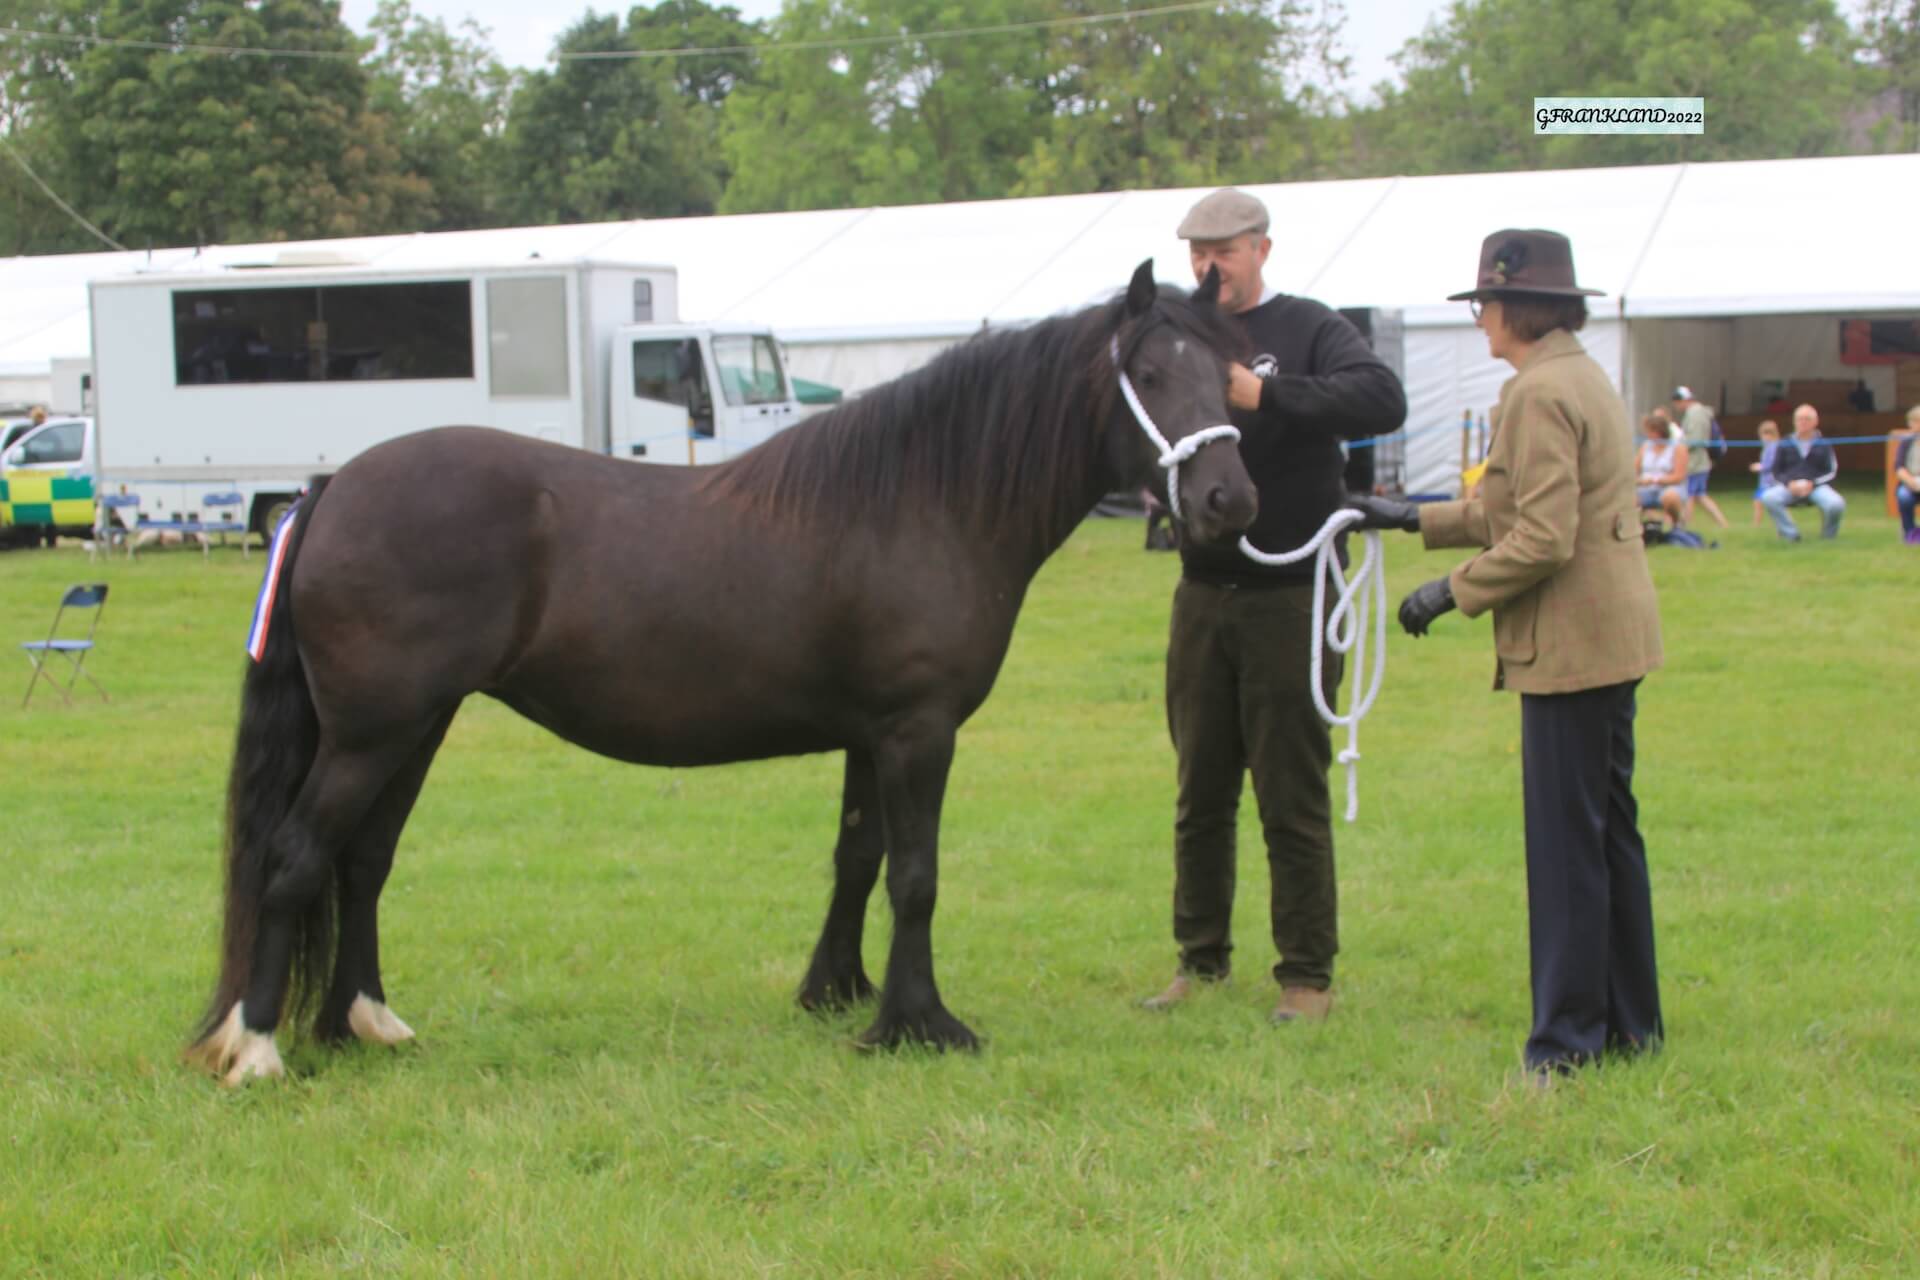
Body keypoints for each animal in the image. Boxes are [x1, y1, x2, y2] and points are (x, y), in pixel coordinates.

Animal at [185, 260, 1259, 1084]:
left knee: (360, 863)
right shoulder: (918, 731)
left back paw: (363, 1025)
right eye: (1151, 372)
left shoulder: (871, 737)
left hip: (414, 726)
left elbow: (857, 860)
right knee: (295, 858)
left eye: (1237, 373)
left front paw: (840, 995)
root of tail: (332, 490)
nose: (1229, 501)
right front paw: (920, 1026)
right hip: (373, 732)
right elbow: (915, 876)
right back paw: (259, 1049)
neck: (921, 499)